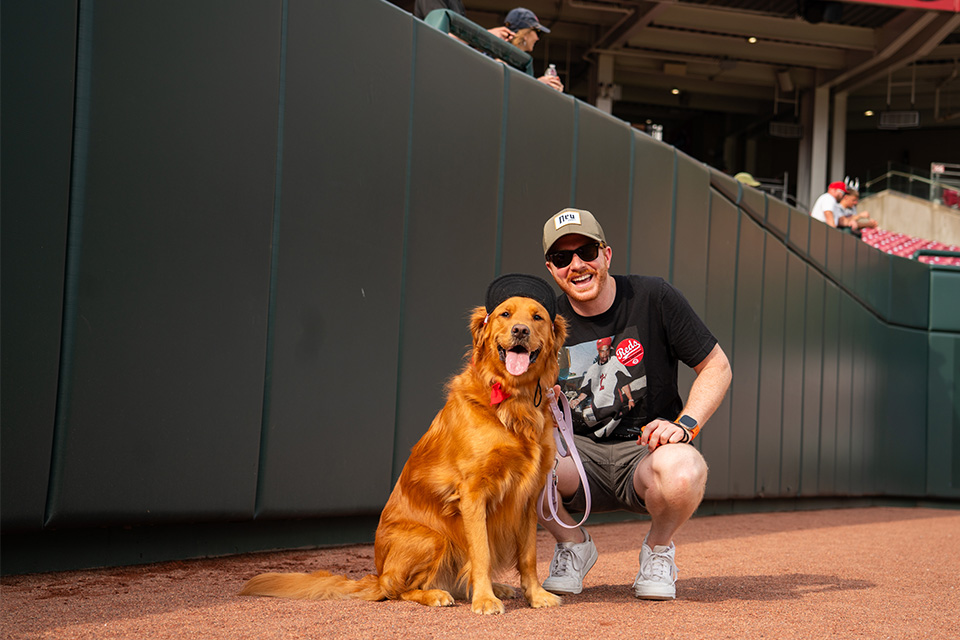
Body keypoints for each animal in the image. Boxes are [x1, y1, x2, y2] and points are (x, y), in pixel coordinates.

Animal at [240, 272, 568, 612]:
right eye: (505, 314)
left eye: (537, 317)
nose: (520, 330)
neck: (514, 401)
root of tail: (377, 573)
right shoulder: (473, 492)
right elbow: (482, 553)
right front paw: (484, 600)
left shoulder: (530, 495)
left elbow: (528, 555)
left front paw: (535, 595)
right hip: (433, 538)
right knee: (397, 589)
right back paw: (436, 593)